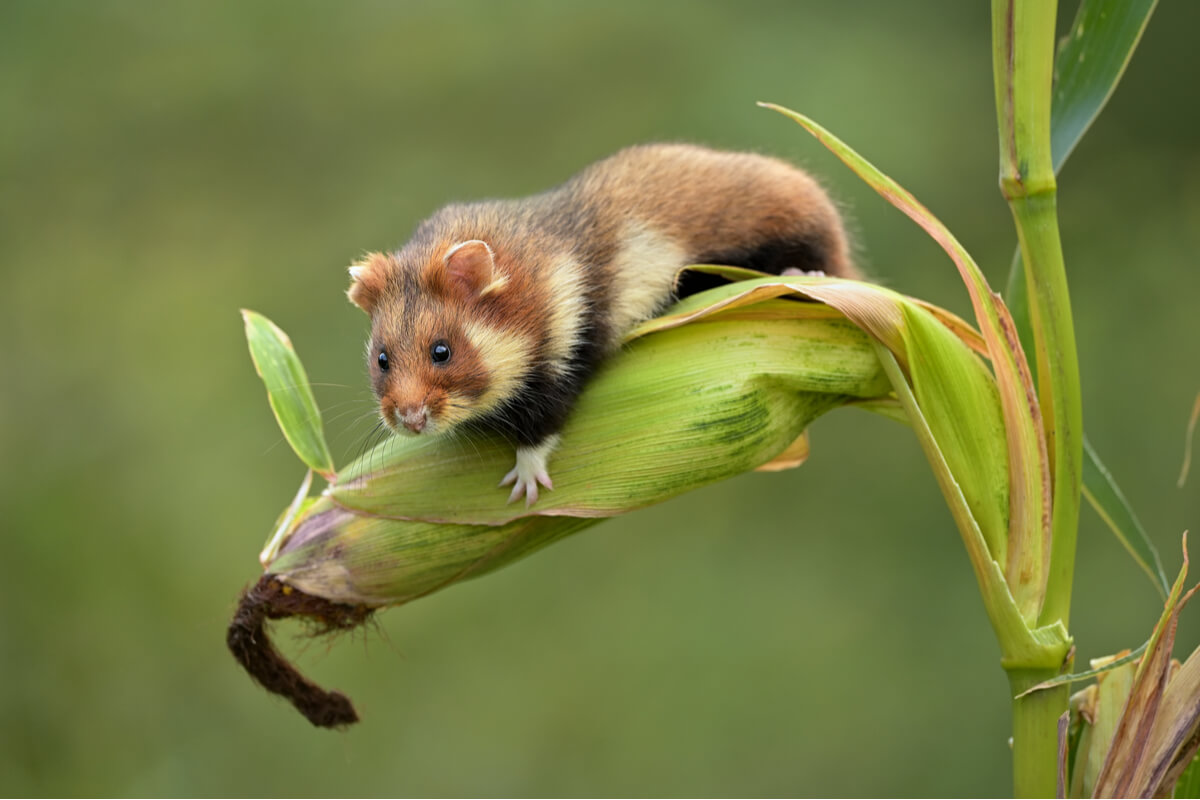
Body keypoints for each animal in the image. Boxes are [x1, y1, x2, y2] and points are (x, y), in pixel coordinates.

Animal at [346, 143, 857, 505]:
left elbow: (546, 422)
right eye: (382, 358)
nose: (411, 419)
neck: (543, 262)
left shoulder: (569, 345)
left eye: (442, 350)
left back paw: (804, 275)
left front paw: (526, 480)